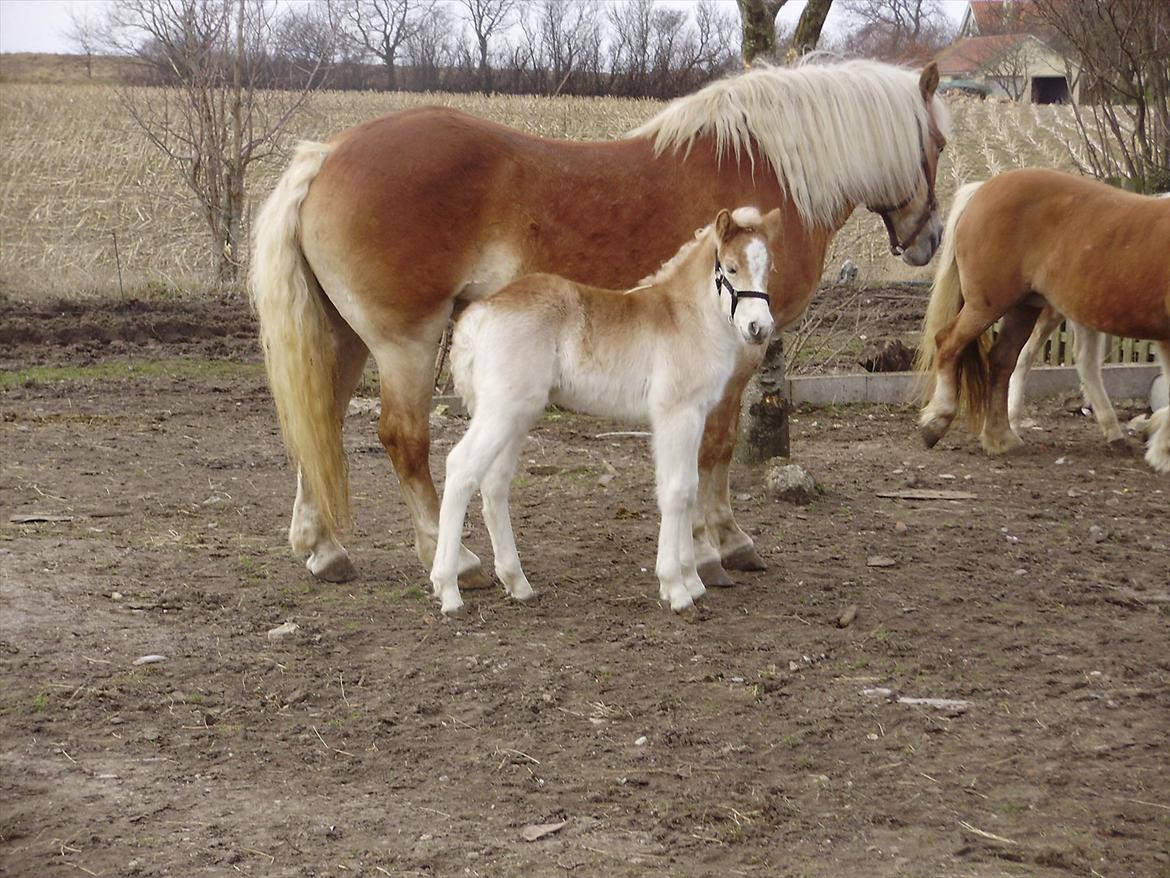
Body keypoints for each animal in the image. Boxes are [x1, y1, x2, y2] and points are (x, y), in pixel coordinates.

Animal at [249, 60, 950, 592]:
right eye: (939, 145)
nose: (931, 240)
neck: (767, 165)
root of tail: (328, 153)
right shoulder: (737, 358)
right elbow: (715, 449)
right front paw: (718, 546)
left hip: (344, 337)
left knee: (320, 423)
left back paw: (323, 548)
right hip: (407, 343)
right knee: (405, 440)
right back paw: (455, 561)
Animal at [917, 172, 1165, 475]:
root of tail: (982, 189)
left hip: (1026, 308)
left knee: (1004, 360)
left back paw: (1001, 437)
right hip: (988, 306)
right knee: (950, 343)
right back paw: (937, 422)